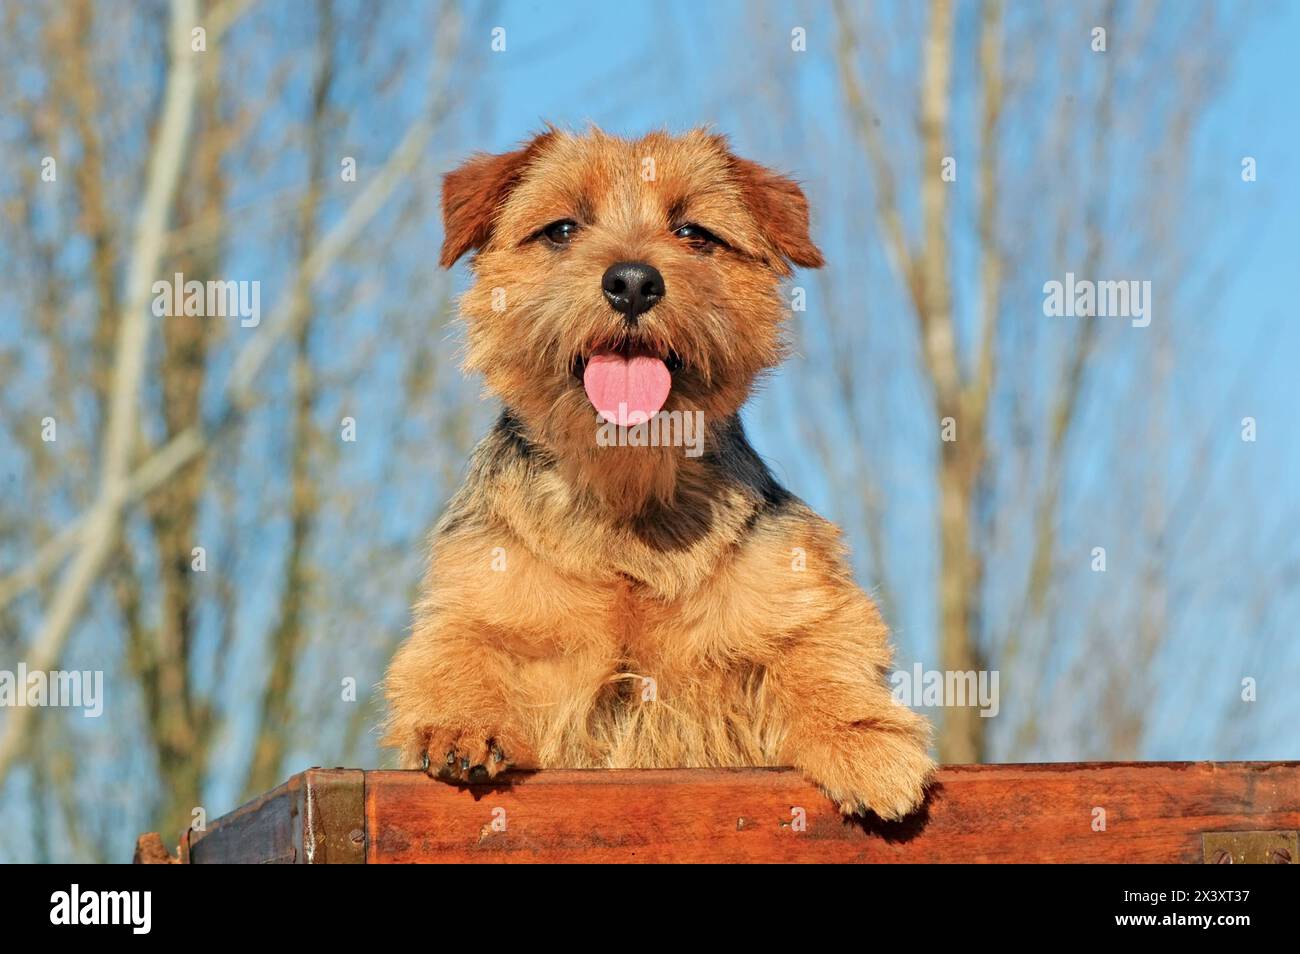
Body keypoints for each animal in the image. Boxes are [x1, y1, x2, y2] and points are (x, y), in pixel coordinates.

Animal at [382, 125, 935, 821]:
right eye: (562, 229)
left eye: (694, 232)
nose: (633, 282)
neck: (626, 495)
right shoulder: (476, 594)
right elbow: (457, 649)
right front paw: (461, 721)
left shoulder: (799, 588)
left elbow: (820, 653)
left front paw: (865, 744)